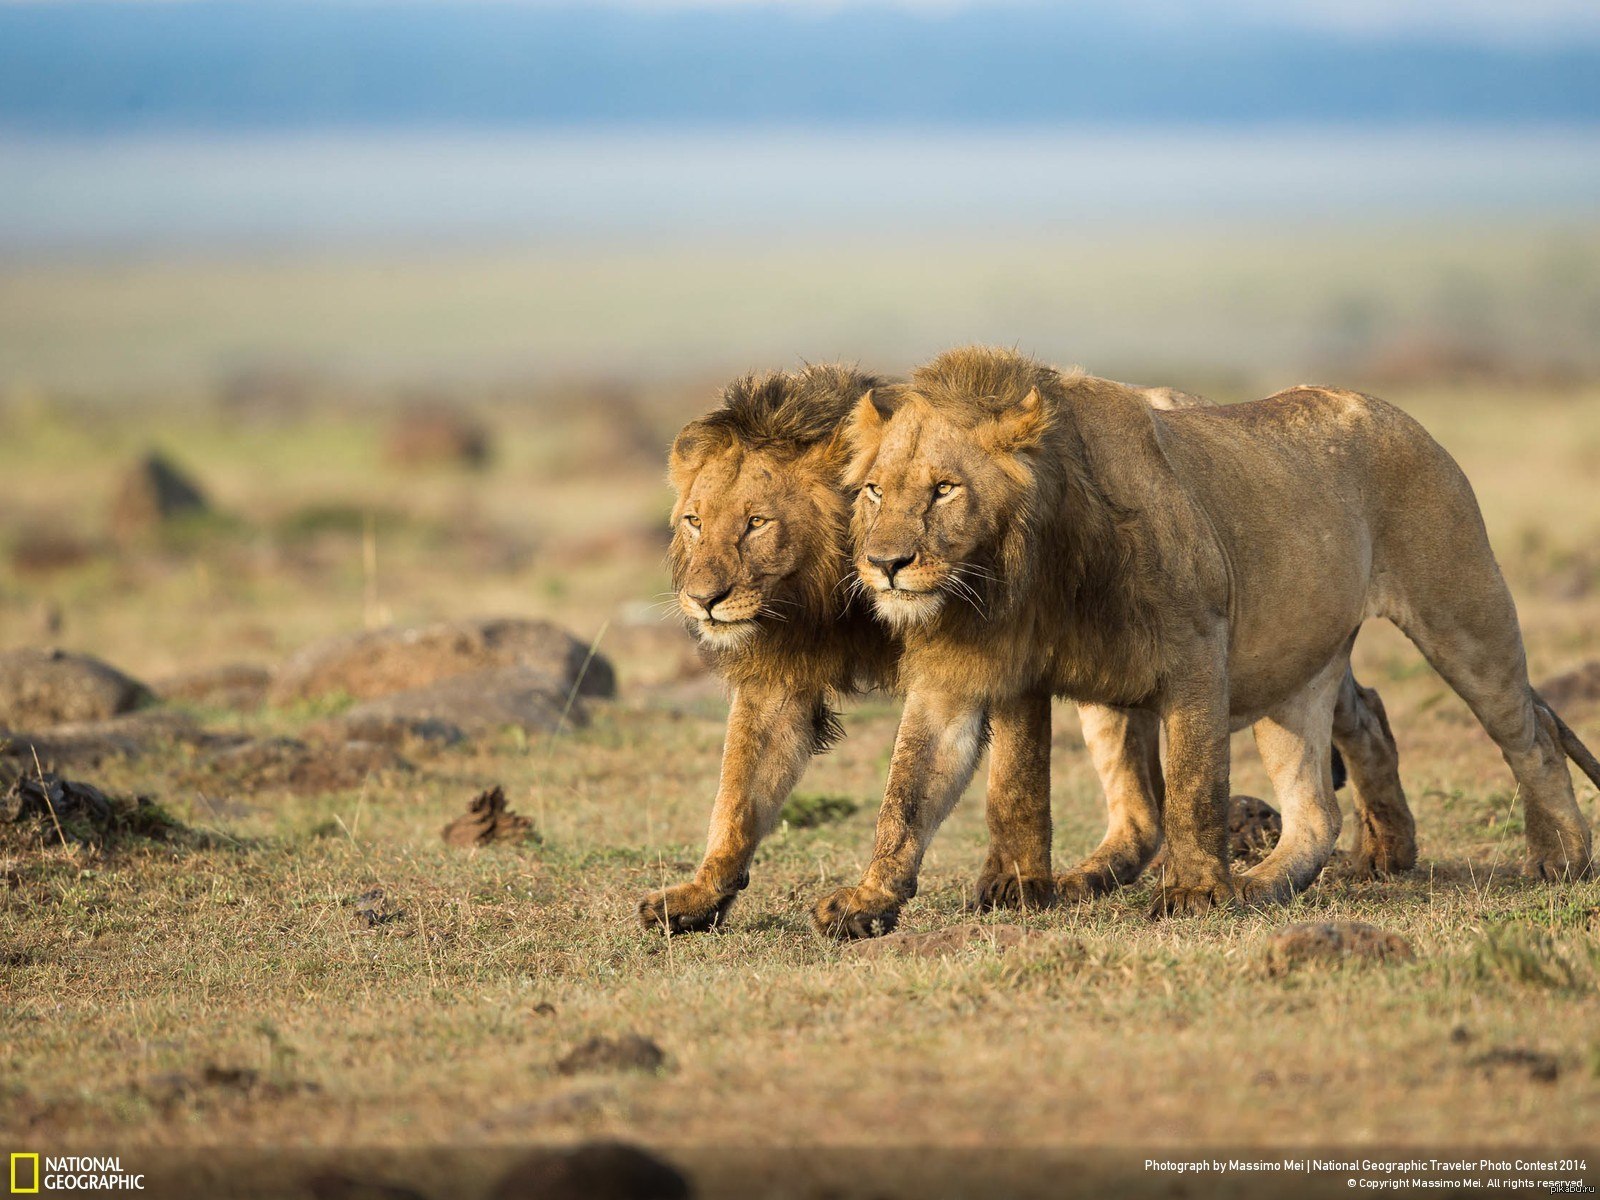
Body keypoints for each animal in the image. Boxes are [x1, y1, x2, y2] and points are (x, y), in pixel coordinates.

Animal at [636, 361, 1414, 934]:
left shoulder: (1003, 652)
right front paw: (700, 895)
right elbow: (741, 794)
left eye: (756, 523)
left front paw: (1009, 887)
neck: (842, 598)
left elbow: (1006, 782)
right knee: (1341, 707)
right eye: (695, 522)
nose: (703, 600)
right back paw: (1387, 847)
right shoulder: (789, 680)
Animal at [819, 347, 1593, 940]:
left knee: (1529, 732)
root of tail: (1389, 409)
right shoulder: (967, 675)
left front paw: (1193, 893)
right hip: (1289, 670)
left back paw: (1562, 858)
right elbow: (924, 792)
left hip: (1461, 613)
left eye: (945, 488)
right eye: (874, 492)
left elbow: (1193, 784)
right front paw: (872, 902)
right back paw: (1293, 873)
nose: (884, 565)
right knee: (1312, 801)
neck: (1013, 575)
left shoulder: (1196, 653)